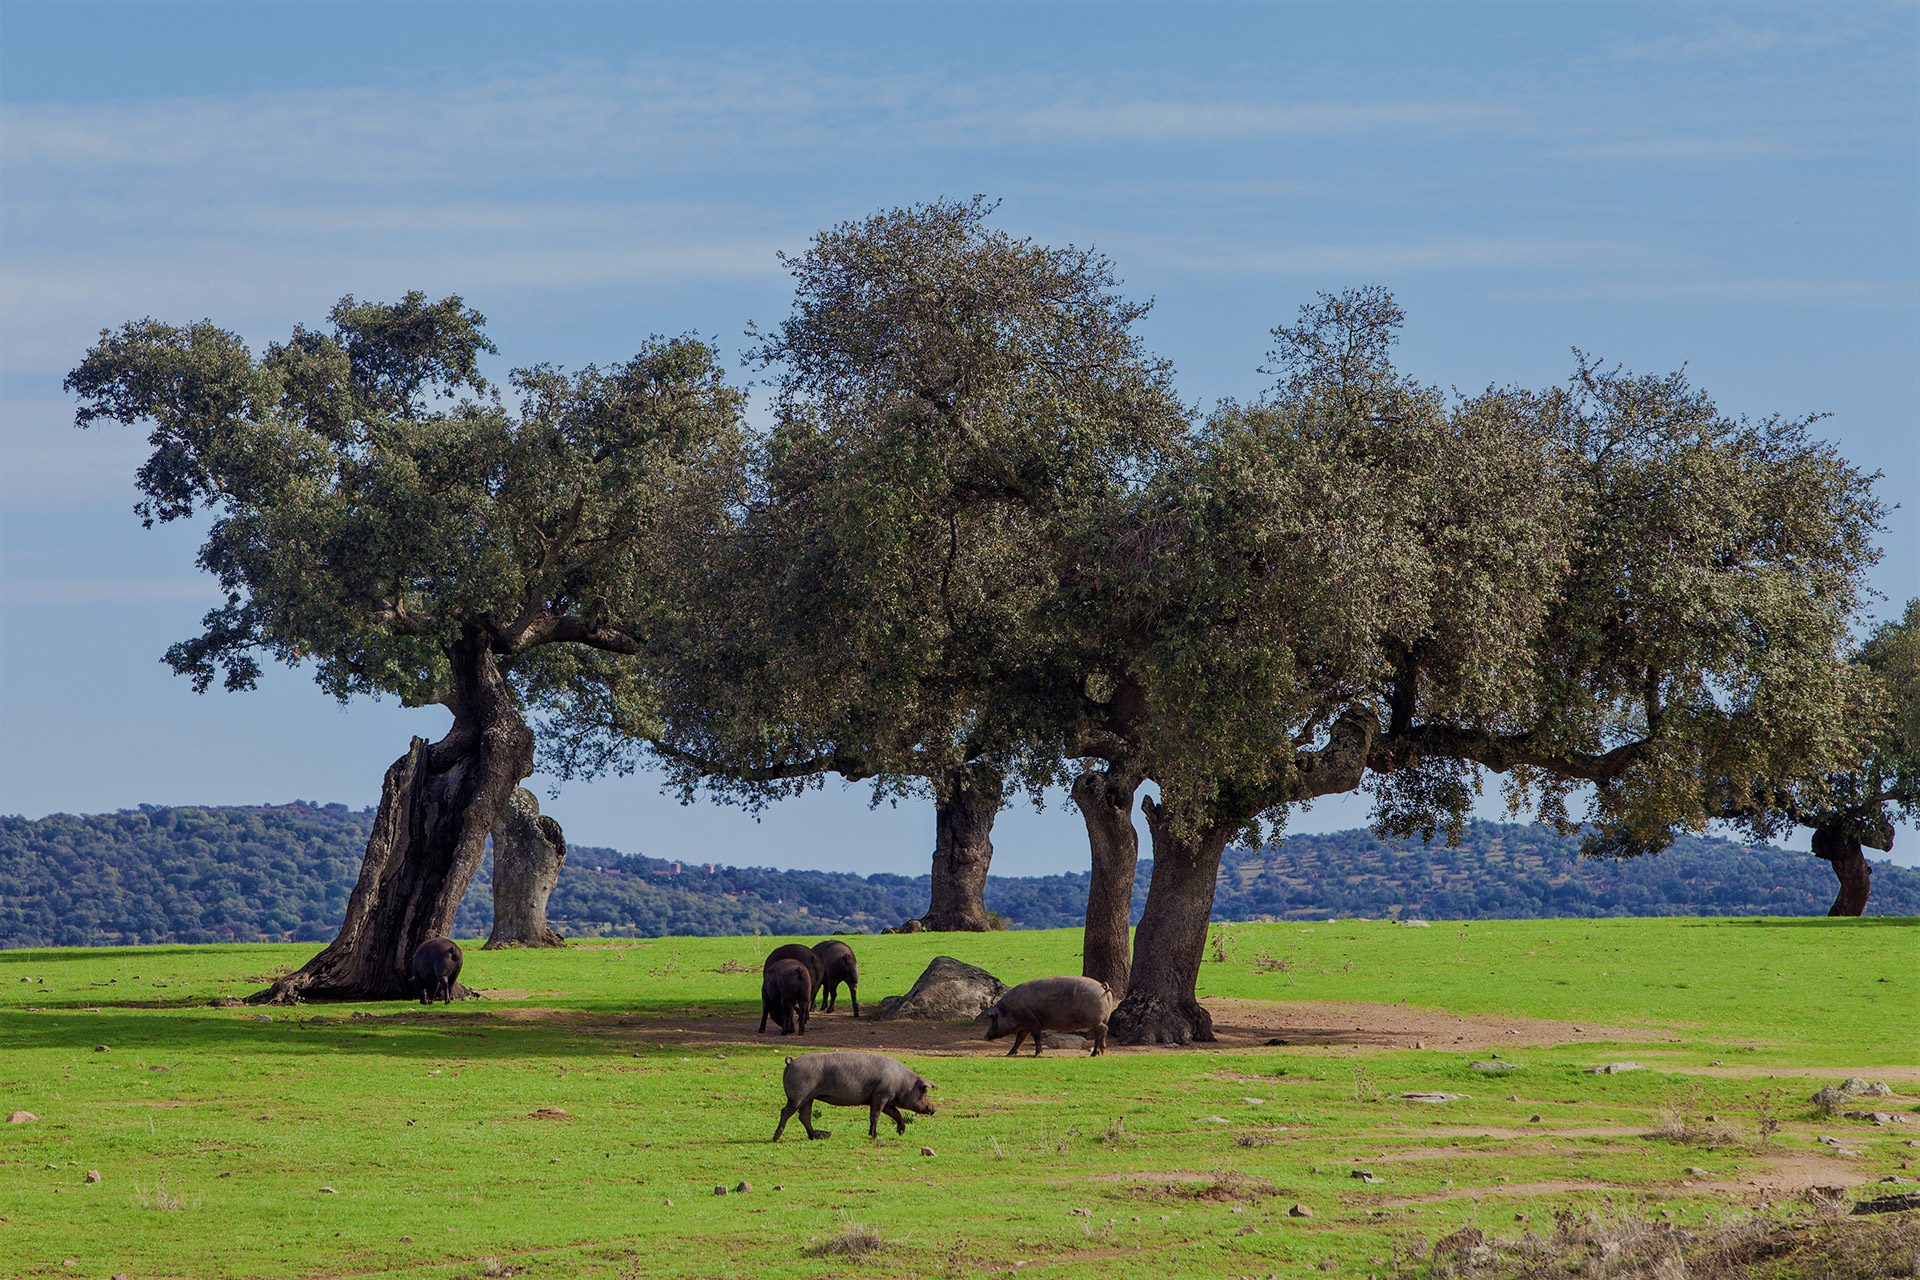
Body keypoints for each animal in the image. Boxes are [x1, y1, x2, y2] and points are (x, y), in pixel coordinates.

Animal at [771, 1051, 936, 1143]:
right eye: (924, 1091)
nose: (934, 1109)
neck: (901, 1082)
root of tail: (790, 1063)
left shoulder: (882, 1098)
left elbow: (895, 1113)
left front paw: (900, 1132)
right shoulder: (880, 1095)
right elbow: (875, 1116)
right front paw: (875, 1136)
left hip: (808, 1098)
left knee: (804, 1116)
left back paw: (817, 1137)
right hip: (798, 1096)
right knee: (786, 1112)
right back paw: (775, 1138)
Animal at [983, 974, 1121, 1059]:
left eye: (993, 1019)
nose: (985, 1036)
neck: (1010, 1010)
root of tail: (1103, 988)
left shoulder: (1031, 1020)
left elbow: (1036, 1036)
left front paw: (1037, 1054)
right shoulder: (1026, 1025)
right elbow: (1020, 1039)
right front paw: (1009, 1054)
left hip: (1093, 1019)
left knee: (1103, 1029)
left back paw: (1100, 1052)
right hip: (1098, 1020)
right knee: (1099, 1033)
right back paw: (1094, 1054)